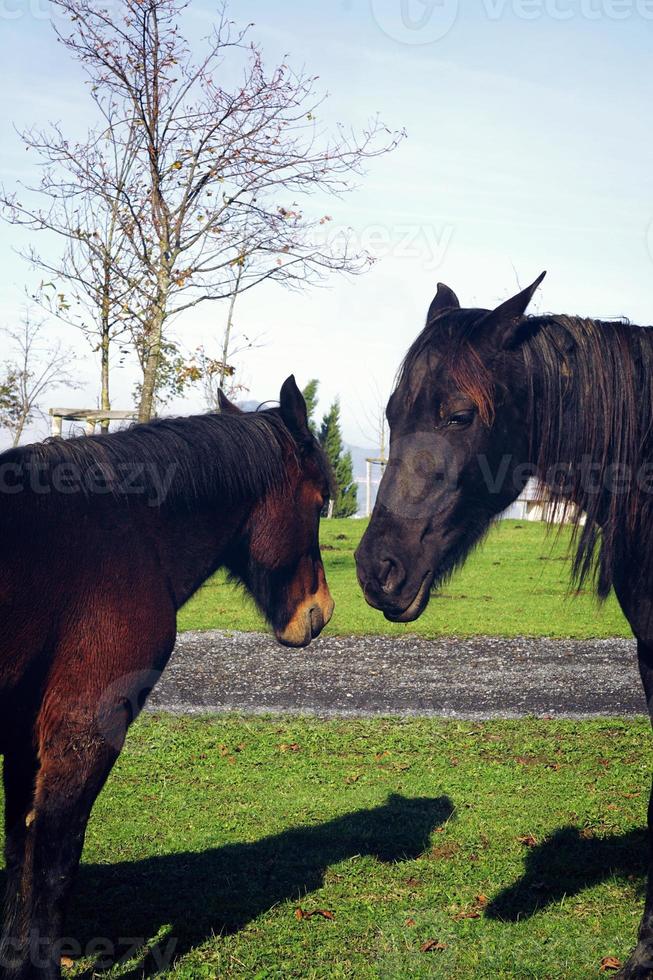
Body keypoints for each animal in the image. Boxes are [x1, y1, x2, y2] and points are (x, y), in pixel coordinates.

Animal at [0, 378, 332, 980]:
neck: (125, 529)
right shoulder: (81, 733)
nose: (320, 610)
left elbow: (21, 858)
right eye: (320, 503)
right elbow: (53, 868)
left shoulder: (23, 740)